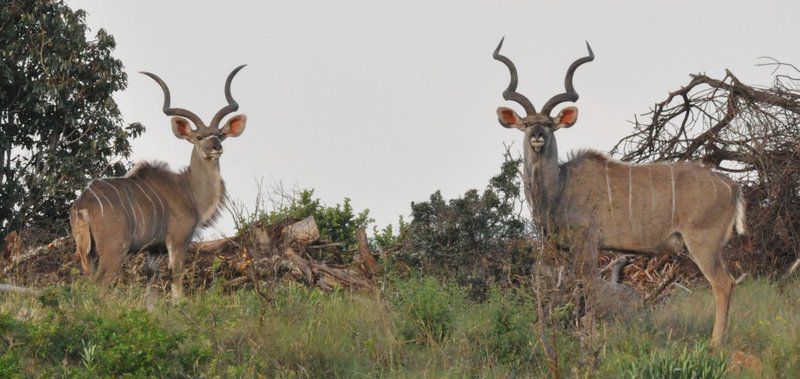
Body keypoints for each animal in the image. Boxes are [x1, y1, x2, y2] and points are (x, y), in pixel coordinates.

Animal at [70, 67, 248, 302]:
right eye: (199, 137)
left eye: (220, 135)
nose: (216, 147)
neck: (187, 188)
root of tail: (83, 204)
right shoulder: (177, 241)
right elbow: (176, 283)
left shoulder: (153, 251)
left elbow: (151, 289)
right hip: (114, 250)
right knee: (99, 285)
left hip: (89, 253)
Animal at [490, 39, 748, 348]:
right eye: (527, 123)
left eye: (550, 124)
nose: (538, 135)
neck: (561, 186)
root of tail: (732, 186)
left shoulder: (587, 243)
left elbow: (589, 288)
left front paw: (587, 342)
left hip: (703, 244)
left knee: (723, 283)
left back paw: (714, 345)